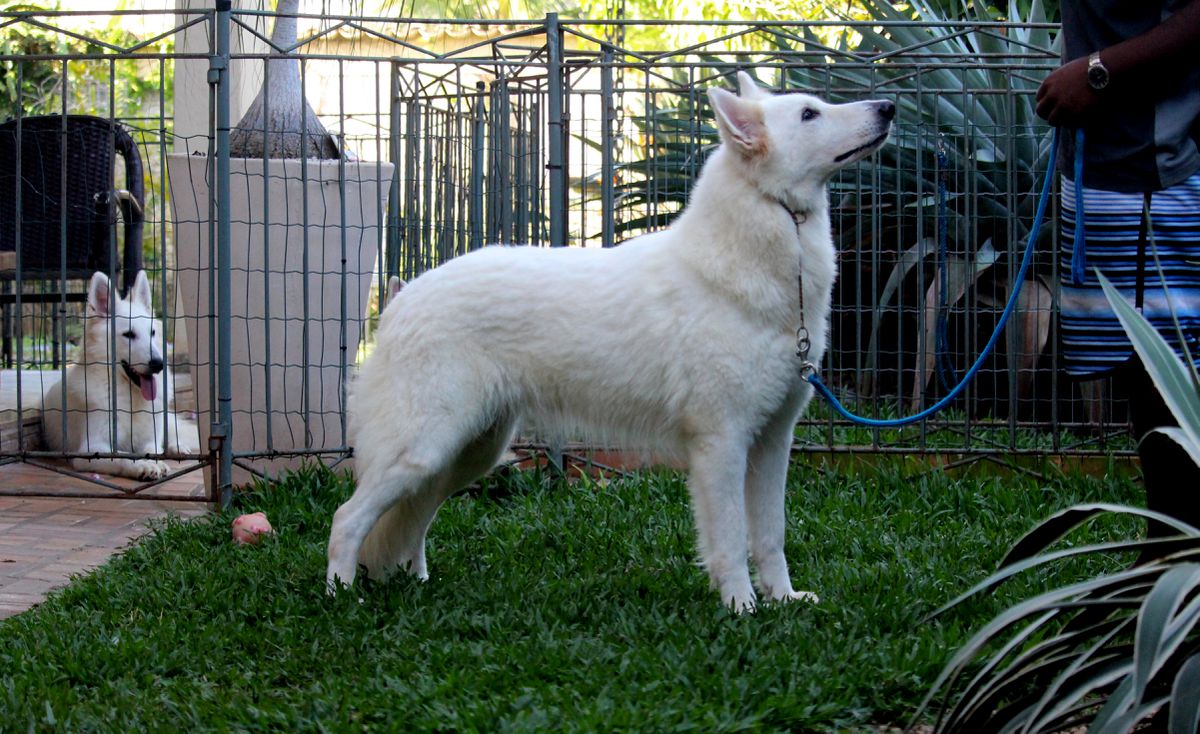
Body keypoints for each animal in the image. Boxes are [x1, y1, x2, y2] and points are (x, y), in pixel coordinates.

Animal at [41, 269, 196, 482]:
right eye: (129, 335)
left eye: (152, 332)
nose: (158, 364)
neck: (129, 398)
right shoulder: (91, 448)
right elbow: (123, 456)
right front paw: (144, 465)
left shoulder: (150, 437)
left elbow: (153, 448)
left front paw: (154, 460)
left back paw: (177, 447)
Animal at [328, 71, 892, 611]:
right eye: (809, 114)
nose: (888, 107)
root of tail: (400, 300)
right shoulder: (722, 443)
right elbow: (732, 541)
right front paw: (741, 608)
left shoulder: (774, 442)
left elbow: (771, 538)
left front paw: (784, 600)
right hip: (423, 450)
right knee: (346, 519)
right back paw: (342, 595)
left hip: (466, 453)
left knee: (412, 519)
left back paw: (416, 581)